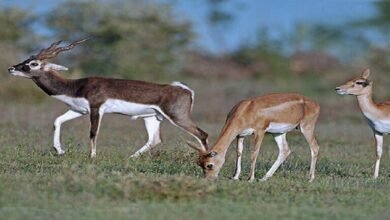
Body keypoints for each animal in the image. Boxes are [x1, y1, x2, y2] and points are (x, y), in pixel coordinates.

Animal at [6, 39, 207, 158]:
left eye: (33, 63)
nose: (11, 68)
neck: (76, 86)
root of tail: (185, 89)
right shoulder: (78, 110)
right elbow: (57, 121)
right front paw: (60, 150)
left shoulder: (96, 108)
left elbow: (93, 132)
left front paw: (92, 157)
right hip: (152, 117)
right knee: (155, 140)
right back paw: (131, 158)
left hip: (177, 117)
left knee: (201, 134)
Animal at [188, 93, 320, 181]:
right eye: (199, 163)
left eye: (209, 165)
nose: (208, 179)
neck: (245, 110)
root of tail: (315, 104)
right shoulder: (240, 135)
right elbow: (239, 152)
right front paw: (235, 177)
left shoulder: (259, 132)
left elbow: (254, 152)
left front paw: (250, 178)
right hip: (278, 133)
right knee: (285, 150)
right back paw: (264, 178)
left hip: (306, 128)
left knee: (315, 147)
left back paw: (310, 178)